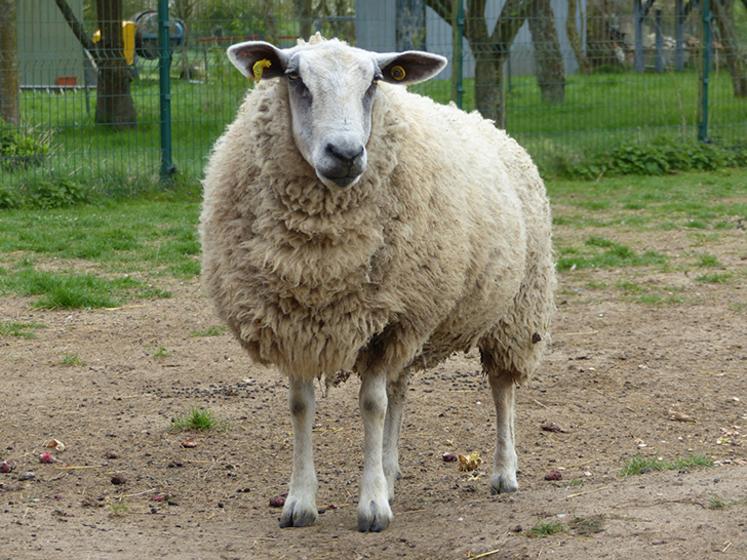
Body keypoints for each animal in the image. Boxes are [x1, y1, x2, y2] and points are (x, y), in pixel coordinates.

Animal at [199, 35, 556, 532]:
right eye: (294, 78)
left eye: (373, 83)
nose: (346, 153)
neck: (320, 259)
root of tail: (489, 124)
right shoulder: (297, 323)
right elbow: (302, 407)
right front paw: (300, 501)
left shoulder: (385, 324)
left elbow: (371, 405)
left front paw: (372, 506)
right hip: (415, 314)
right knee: (399, 389)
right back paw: (390, 469)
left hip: (516, 311)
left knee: (502, 389)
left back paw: (504, 472)